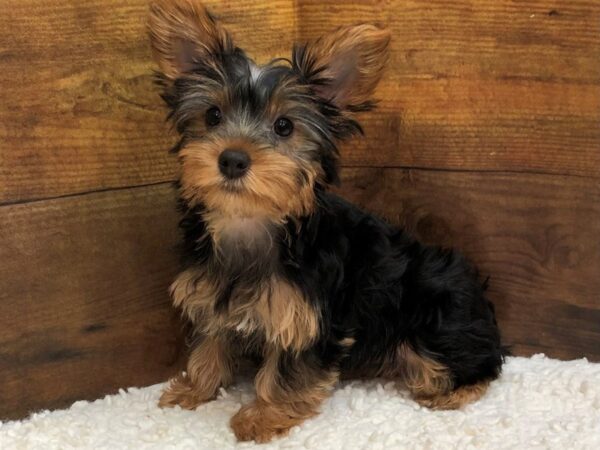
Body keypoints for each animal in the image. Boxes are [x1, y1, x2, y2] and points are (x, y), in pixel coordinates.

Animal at [148, 0, 504, 442]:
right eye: (212, 116)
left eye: (284, 126)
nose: (232, 159)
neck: (251, 222)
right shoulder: (211, 294)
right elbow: (209, 342)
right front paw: (194, 388)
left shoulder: (309, 317)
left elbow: (288, 370)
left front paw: (262, 416)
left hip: (435, 311)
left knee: (476, 363)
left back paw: (451, 391)